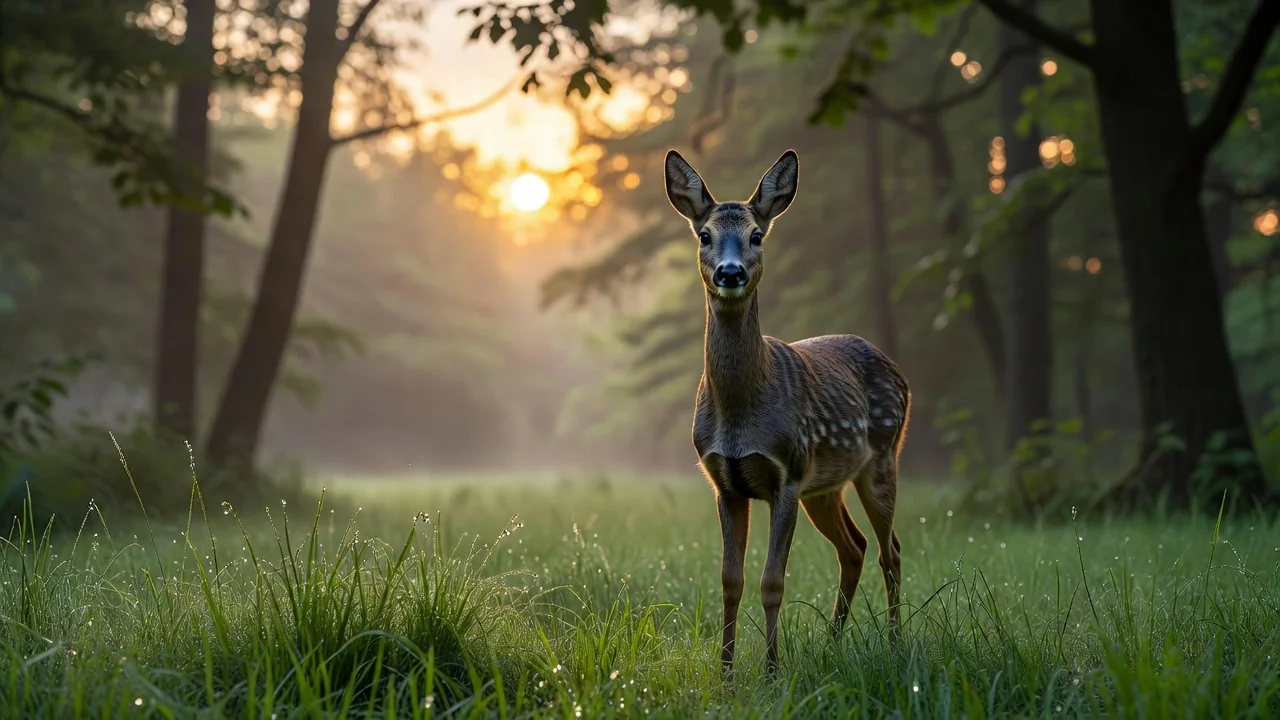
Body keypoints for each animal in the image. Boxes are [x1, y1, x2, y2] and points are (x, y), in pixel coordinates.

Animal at [663, 148, 910, 675]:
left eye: (757, 235)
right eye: (704, 235)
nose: (730, 272)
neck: (739, 418)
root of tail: (895, 367)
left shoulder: (788, 474)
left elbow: (772, 582)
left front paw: (773, 671)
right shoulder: (724, 482)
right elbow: (730, 581)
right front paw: (726, 673)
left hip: (880, 458)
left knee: (891, 549)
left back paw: (897, 643)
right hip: (826, 485)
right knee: (854, 548)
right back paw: (833, 643)